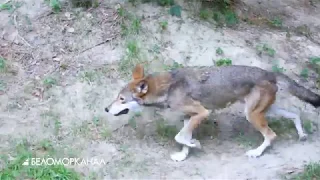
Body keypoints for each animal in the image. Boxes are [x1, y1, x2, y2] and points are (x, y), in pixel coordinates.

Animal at [105, 64, 320, 161]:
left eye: (121, 99)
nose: (106, 108)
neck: (168, 88)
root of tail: (270, 72)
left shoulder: (202, 112)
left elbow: (179, 137)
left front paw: (195, 144)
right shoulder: (189, 117)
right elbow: (183, 138)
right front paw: (184, 154)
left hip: (252, 115)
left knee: (272, 135)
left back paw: (256, 153)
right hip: (265, 111)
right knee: (295, 113)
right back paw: (302, 135)